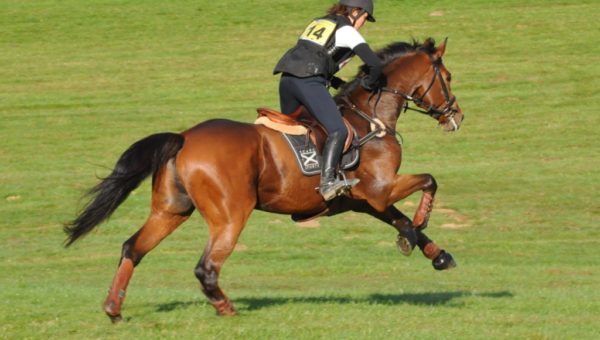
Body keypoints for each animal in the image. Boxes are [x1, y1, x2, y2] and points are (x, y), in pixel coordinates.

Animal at [65, 37, 466, 322]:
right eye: (447, 78)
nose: (457, 115)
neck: (370, 118)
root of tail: (184, 138)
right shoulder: (381, 189)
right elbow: (429, 183)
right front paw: (416, 232)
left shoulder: (365, 200)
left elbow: (401, 219)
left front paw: (437, 254)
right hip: (230, 215)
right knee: (206, 267)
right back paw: (227, 310)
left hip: (171, 210)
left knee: (132, 248)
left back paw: (114, 308)